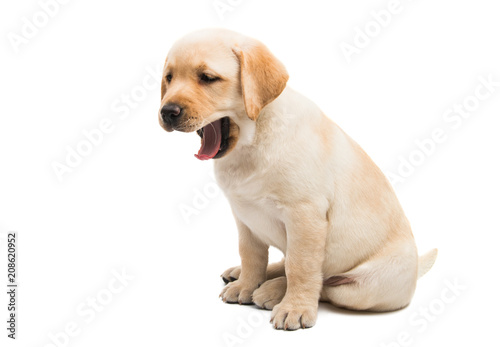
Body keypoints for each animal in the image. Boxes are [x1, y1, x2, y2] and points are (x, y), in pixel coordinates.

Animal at [158, 28, 436, 330]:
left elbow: (301, 267)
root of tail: (417, 269)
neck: (251, 142)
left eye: (207, 78)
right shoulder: (244, 216)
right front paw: (246, 284)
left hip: (363, 287)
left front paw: (295, 307)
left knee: (327, 284)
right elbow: (252, 254)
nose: (167, 112)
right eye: (169, 78)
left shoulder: (305, 215)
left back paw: (272, 291)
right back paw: (245, 275)